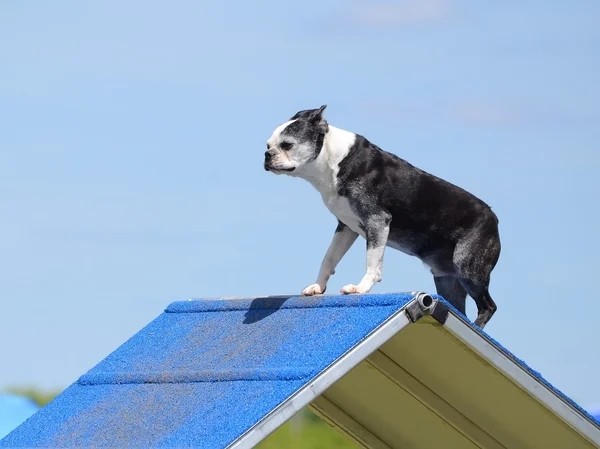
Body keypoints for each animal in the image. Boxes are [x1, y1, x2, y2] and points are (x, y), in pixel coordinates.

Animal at [264, 106, 500, 328]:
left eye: (287, 145)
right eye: (268, 145)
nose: (267, 155)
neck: (334, 159)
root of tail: (494, 219)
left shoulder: (377, 221)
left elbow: (372, 260)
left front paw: (360, 289)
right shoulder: (345, 227)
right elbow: (329, 257)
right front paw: (317, 287)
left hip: (467, 266)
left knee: (488, 305)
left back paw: (477, 327)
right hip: (446, 280)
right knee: (460, 308)